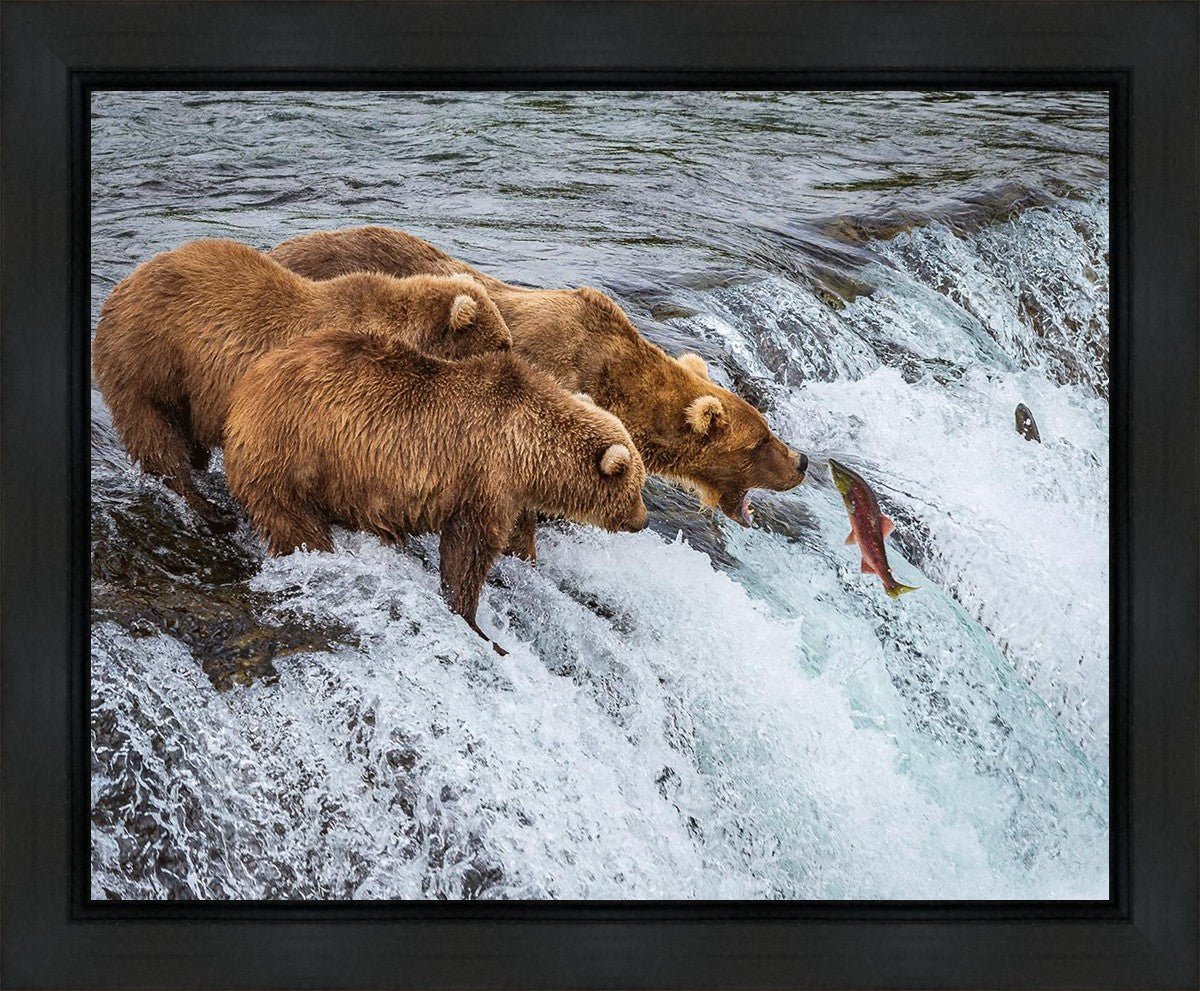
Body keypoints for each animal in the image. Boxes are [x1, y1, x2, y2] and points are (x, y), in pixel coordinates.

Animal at [92, 238, 512, 523]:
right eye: (502, 344)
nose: (514, 362)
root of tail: (120, 288)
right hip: (150, 360)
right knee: (157, 436)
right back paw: (203, 505)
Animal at [223, 328, 649, 654]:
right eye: (636, 488)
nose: (643, 521)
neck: (529, 449)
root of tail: (246, 387)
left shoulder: (511, 492)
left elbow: (516, 537)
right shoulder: (485, 475)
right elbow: (468, 550)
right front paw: (475, 622)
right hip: (293, 453)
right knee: (295, 522)